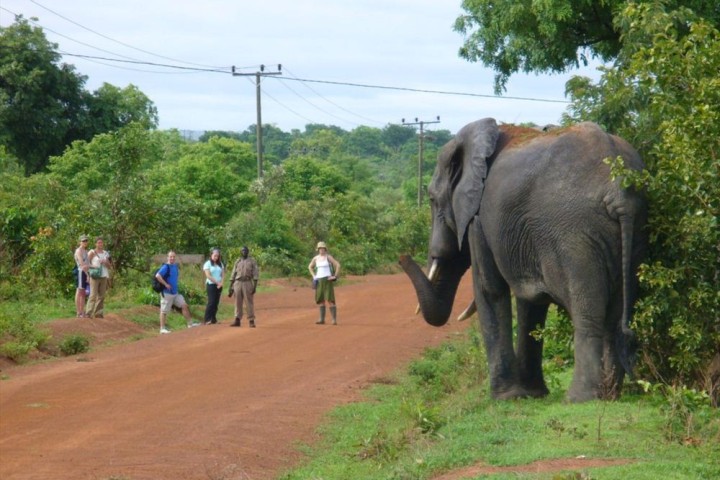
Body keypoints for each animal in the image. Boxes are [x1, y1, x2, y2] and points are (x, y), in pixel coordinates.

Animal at [400, 118, 648, 404]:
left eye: (431, 199)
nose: (402, 257)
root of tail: (618, 189)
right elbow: (531, 302)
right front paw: (533, 394)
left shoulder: (478, 219)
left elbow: (490, 289)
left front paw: (505, 398)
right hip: (634, 231)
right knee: (615, 313)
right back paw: (609, 395)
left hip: (575, 234)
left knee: (588, 311)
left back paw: (579, 398)